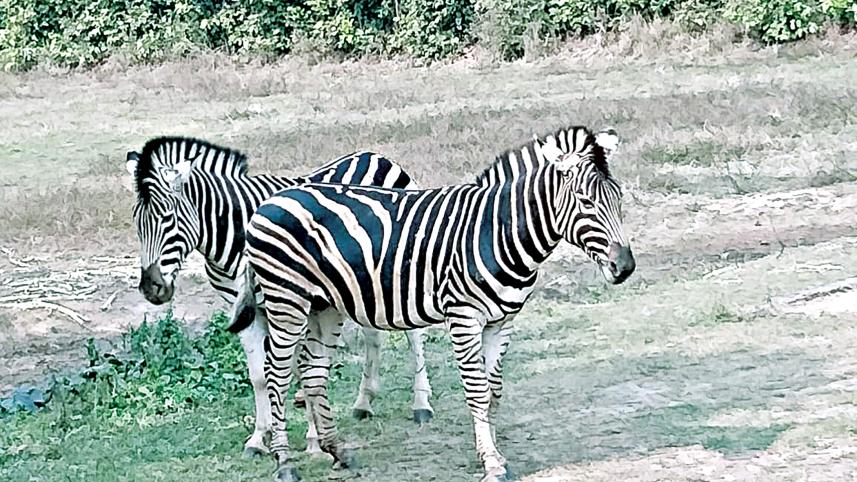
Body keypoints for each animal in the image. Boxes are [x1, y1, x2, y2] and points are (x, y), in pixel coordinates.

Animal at [124, 136, 435, 457]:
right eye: (137, 222)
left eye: (168, 218)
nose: (151, 288)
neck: (237, 231)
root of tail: (374, 155)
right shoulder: (245, 311)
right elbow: (260, 375)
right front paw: (260, 437)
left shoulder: (297, 303)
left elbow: (303, 368)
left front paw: (312, 438)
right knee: (373, 334)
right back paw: (364, 401)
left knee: (414, 335)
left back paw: (421, 403)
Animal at [231, 125, 636, 481]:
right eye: (585, 201)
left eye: (618, 198)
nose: (625, 267)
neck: (496, 231)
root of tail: (269, 201)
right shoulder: (464, 316)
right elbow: (477, 392)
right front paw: (492, 462)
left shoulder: (502, 321)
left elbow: (493, 391)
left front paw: (493, 450)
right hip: (287, 300)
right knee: (276, 374)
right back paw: (285, 463)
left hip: (323, 306)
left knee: (314, 373)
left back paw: (338, 452)